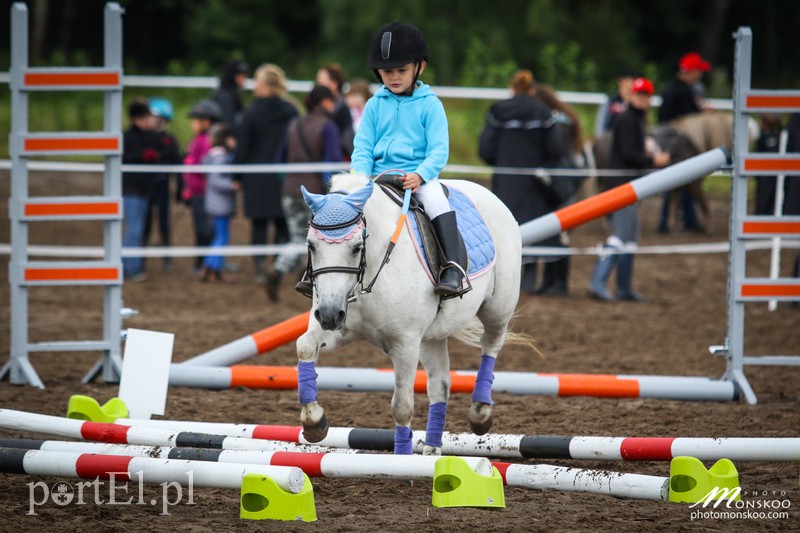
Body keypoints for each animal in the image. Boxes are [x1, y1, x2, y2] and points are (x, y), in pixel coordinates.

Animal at [294, 172, 528, 455]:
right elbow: (305, 345)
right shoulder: (341, 325)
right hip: (431, 338)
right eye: (311, 245)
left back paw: (480, 413)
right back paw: (432, 451)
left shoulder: (405, 343)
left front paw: (402, 458)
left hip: (498, 308)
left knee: (491, 345)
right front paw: (314, 421)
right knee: (440, 386)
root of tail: (485, 192)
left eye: (356, 247)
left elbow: (402, 406)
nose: (328, 315)